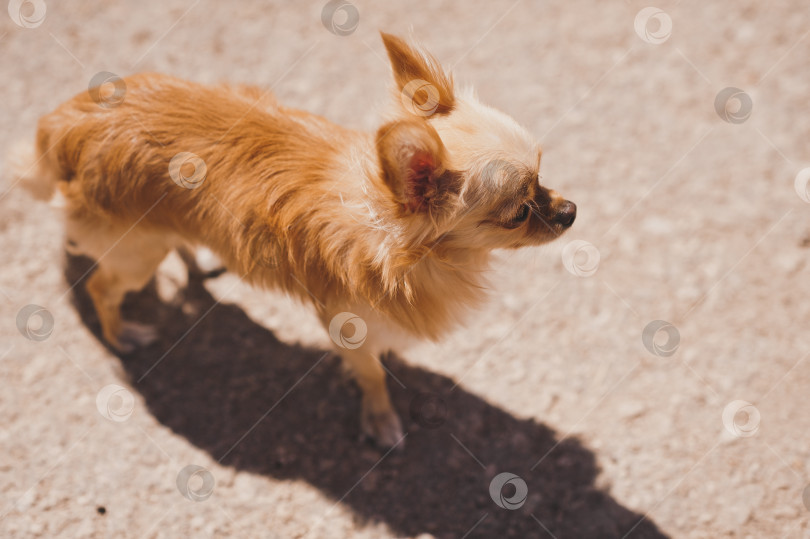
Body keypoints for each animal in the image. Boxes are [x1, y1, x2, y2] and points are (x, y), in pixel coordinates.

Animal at [15, 32, 576, 448]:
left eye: (543, 174)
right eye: (519, 213)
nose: (571, 211)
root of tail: (64, 124)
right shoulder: (344, 324)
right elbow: (371, 374)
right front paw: (379, 418)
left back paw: (195, 263)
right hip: (136, 258)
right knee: (101, 289)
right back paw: (121, 334)